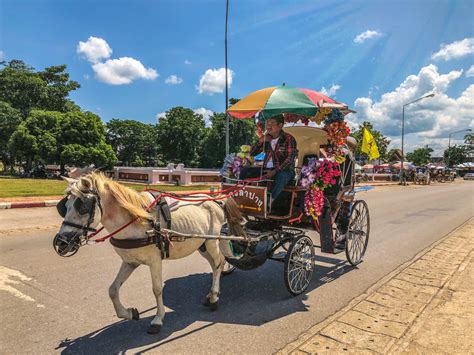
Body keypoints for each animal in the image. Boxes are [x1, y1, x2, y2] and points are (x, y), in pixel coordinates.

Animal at [54, 174, 244, 336]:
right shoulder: (130, 261)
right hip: (201, 244)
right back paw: (211, 294)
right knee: (215, 264)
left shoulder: (155, 261)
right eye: (64, 207)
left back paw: (214, 297)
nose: (60, 243)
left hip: (212, 242)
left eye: (82, 207)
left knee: (219, 262)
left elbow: (157, 289)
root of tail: (217, 200)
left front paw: (158, 319)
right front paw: (130, 313)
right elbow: (113, 290)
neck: (138, 220)